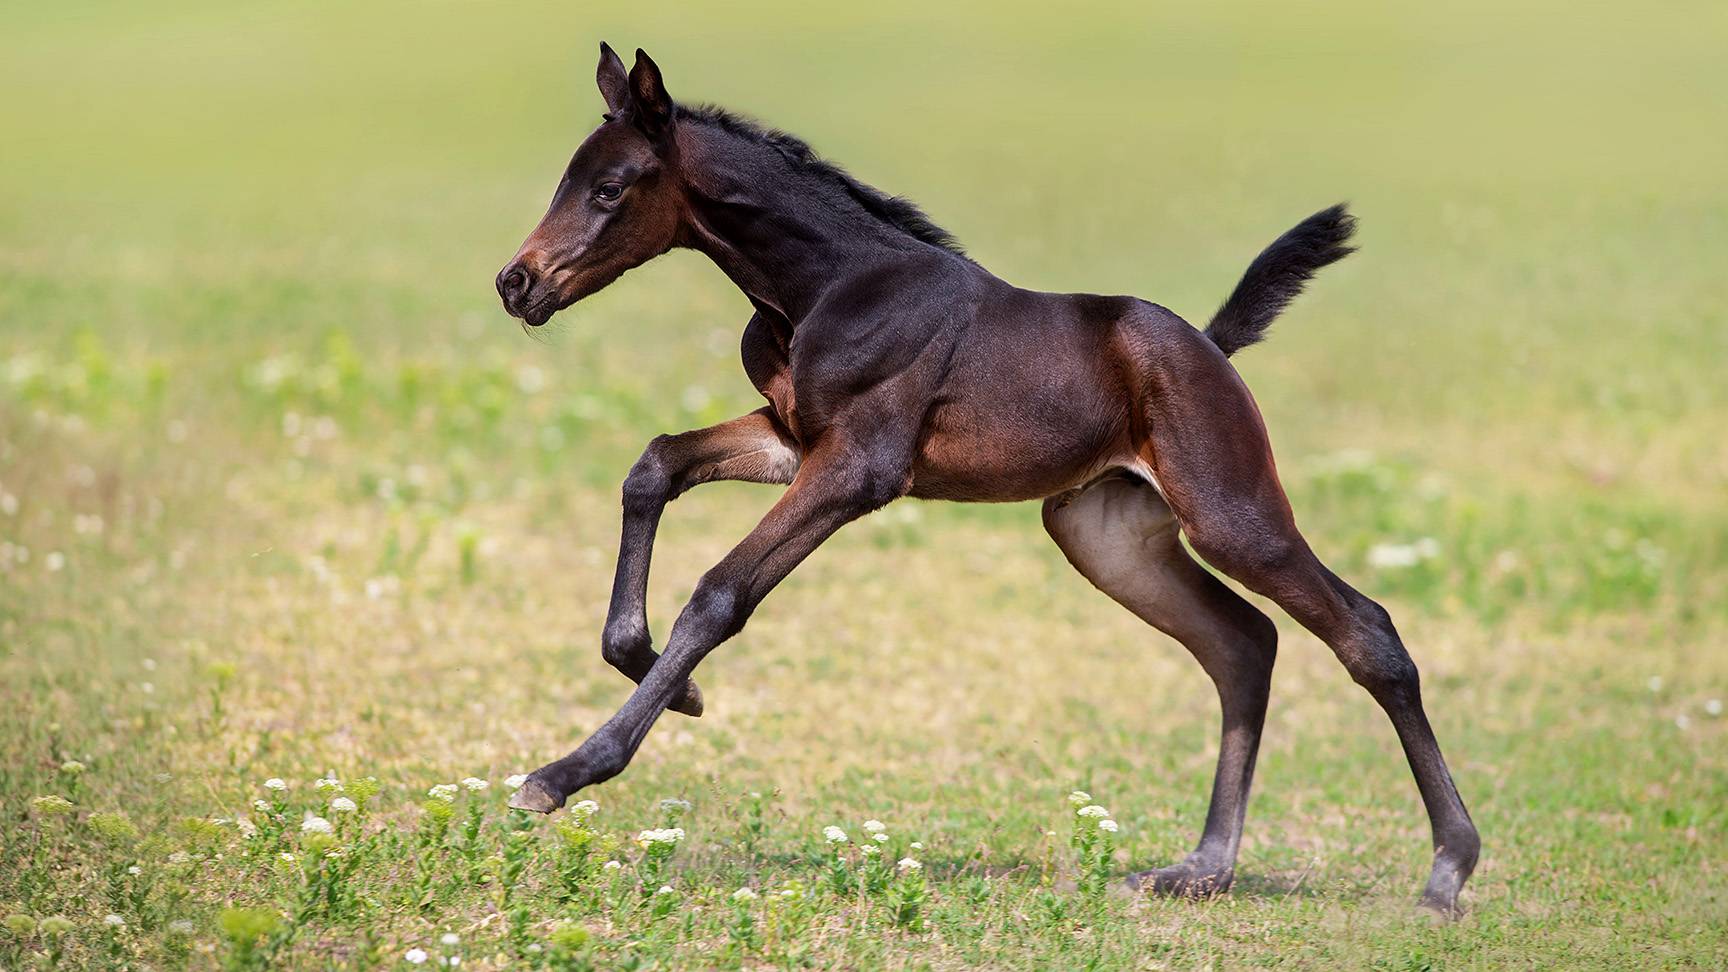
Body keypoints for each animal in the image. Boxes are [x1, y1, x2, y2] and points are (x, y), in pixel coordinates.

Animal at [495, 42, 1478, 915]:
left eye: (611, 188)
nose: (516, 283)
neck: (826, 286)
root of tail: (1210, 348)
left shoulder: (857, 469)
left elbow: (721, 592)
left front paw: (565, 772)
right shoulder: (791, 439)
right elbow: (653, 466)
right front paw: (661, 674)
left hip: (1231, 510)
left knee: (1367, 632)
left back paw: (1447, 872)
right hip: (1103, 535)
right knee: (1242, 644)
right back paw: (1200, 870)